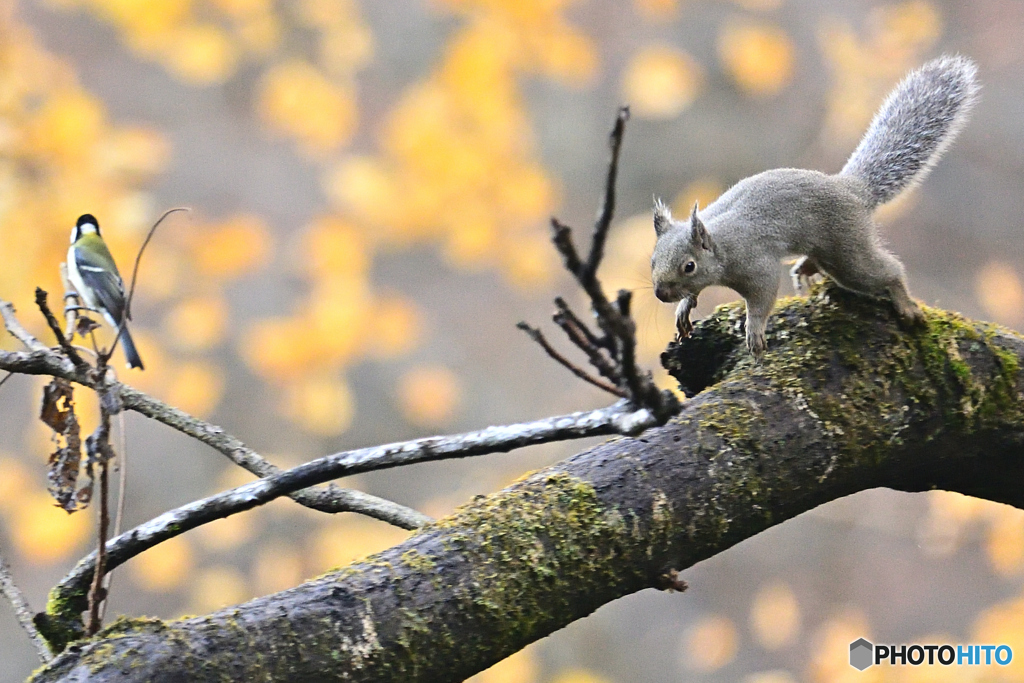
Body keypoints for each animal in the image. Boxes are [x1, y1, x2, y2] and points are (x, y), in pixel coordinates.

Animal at [651, 55, 978, 356]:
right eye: (652, 260)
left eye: (689, 266)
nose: (659, 293)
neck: (721, 244)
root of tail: (853, 189)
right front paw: (683, 309)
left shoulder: (756, 263)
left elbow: (762, 298)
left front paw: (754, 332)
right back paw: (805, 269)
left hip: (849, 252)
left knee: (887, 272)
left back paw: (904, 304)